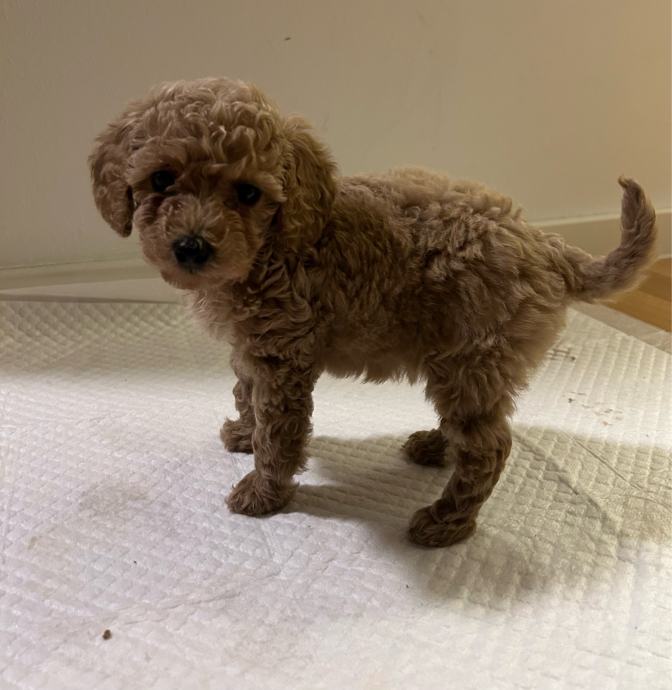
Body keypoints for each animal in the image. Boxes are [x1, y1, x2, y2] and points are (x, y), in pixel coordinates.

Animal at [90, 77, 657, 547]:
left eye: (248, 193)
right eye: (161, 180)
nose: (192, 247)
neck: (273, 246)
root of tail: (547, 245)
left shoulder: (283, 358)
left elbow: (279, 431)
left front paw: (263, 492)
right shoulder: (251, 348)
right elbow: (246, 394)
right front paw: (244, 435)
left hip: (475, 358)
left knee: (490, 446)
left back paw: (446, 523)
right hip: (463, 362)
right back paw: (436, 447)